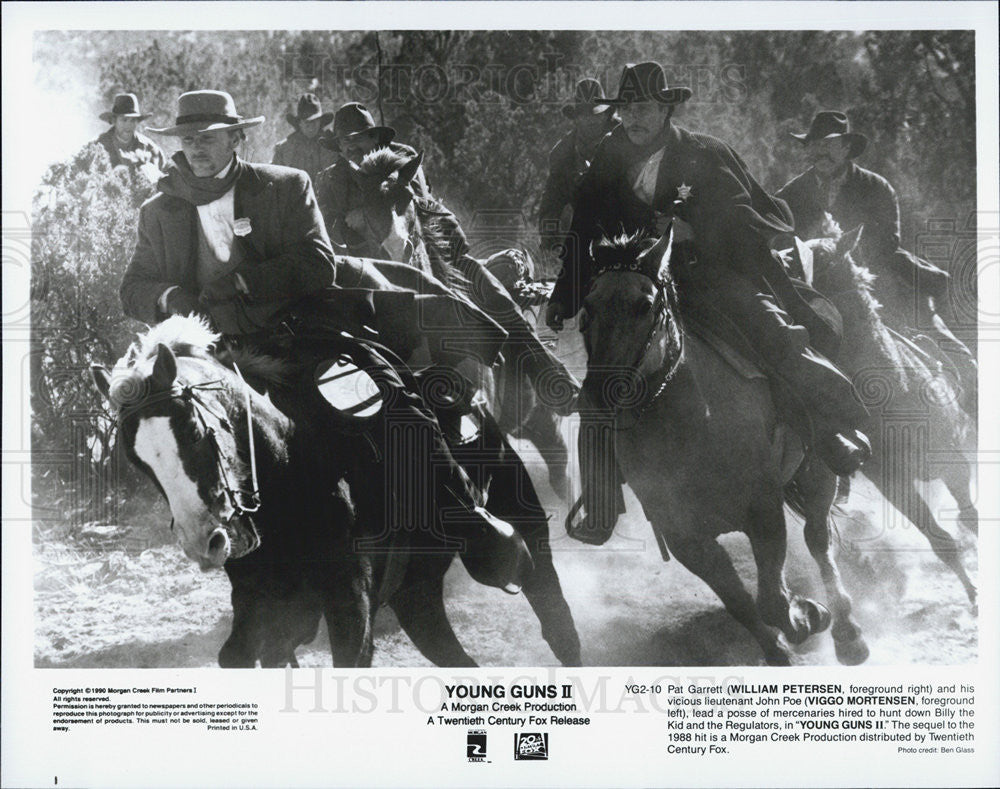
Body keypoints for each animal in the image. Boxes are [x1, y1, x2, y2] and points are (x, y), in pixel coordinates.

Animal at [95, 314, 580, 664]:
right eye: (138, 461)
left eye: (194, 431)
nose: (204, 543)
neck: (293, 467)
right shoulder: (260, 605)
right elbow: (242, 654)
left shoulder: (350, 602)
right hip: (416, 596)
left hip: (524, 525)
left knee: (557, 623)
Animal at [584, 231, 872, 660]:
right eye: (587, 307)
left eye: (644, 305)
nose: (596, 392)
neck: (687, 429)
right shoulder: (686, 539)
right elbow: (743, 605)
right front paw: (782, 649)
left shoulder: (763, 509)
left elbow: (772, 601)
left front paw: (807, 616)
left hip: (819, 470)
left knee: (818, 539)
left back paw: (848, 634)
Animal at [804, 226, 976, 604]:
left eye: (814, 258)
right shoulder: (893, 483)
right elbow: (941, 540)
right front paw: (973, 595)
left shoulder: (954, 463)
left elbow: (970, 515)